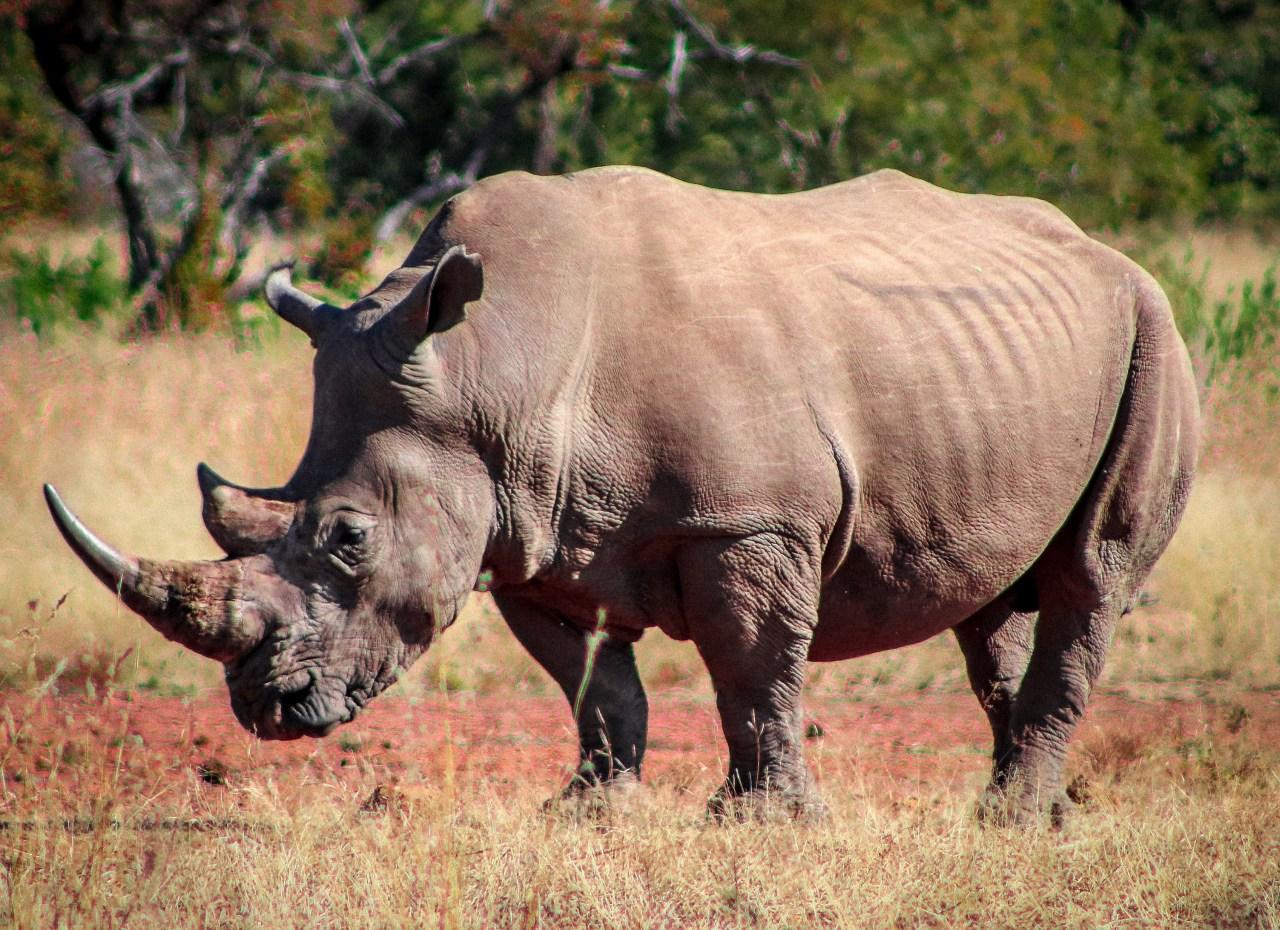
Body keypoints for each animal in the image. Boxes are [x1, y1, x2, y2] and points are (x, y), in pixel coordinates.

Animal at [46, 166, 1198, 823]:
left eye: (345, 539)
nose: (264, 710)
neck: (491, 366)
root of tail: (1104, 250)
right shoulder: (523, 535)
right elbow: (596, 688)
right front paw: (586, 816)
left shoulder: (747, 521)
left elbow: (752, 672)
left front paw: (760, 828)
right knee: (995, 603)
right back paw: (1027, 812)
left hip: (1154, 331)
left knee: (1090, 576)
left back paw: (1012, 819)